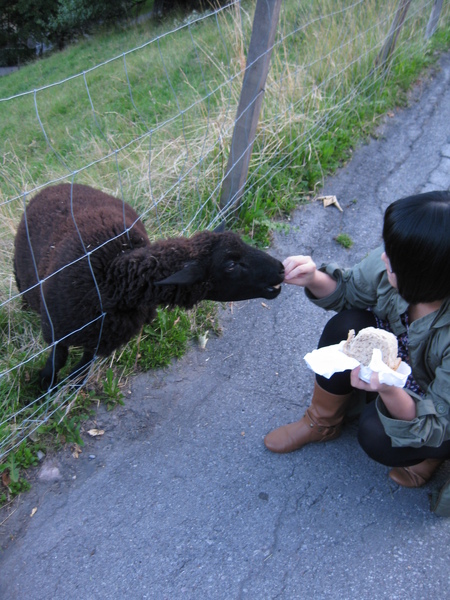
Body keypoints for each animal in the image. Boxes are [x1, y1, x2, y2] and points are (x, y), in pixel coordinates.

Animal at [14, 183, 284, 390]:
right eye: (230, 264)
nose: (281, 268)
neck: (112, 277)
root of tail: (59, 185)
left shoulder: (99, 337)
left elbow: (82, 366)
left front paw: (70, 386)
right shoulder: (57, 330)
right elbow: (58, 361)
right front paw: (44, 386)